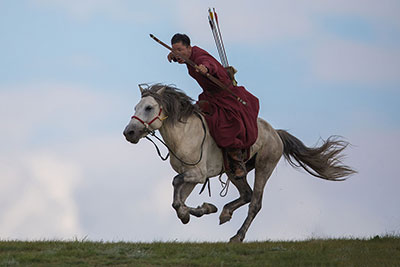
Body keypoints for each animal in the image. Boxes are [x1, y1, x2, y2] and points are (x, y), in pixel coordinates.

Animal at [123, 84, 354, 243]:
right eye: (136, 107)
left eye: (149, 107)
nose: (129, 132)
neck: (184, 134)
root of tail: (275, 133)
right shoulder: (192, 177)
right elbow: (178, 198)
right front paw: (199, 210)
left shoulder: (197, 175)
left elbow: (175, 185)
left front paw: (189, 212)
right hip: (235, 171)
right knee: (247, 194)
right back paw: (225, 212)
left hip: (264, 167)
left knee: (255, 203)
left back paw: (238, 236)